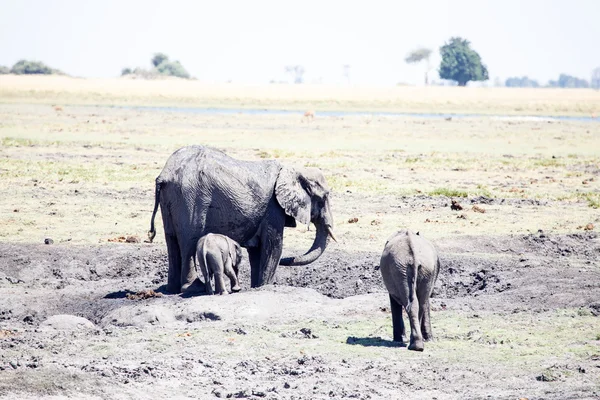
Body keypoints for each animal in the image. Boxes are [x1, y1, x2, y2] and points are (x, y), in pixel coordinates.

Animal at [149, 146, 338, 294]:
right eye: (323, 198)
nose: (287, 261)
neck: (293, 169)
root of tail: (164, 174)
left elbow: (257, 252)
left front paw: (256, 287)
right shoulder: (273, 208)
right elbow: (273, 247)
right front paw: (265, 287)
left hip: (172, 198)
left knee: (171, 240)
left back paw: (171, 289)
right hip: (190, 198)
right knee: (189, 242)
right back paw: (194, 288)